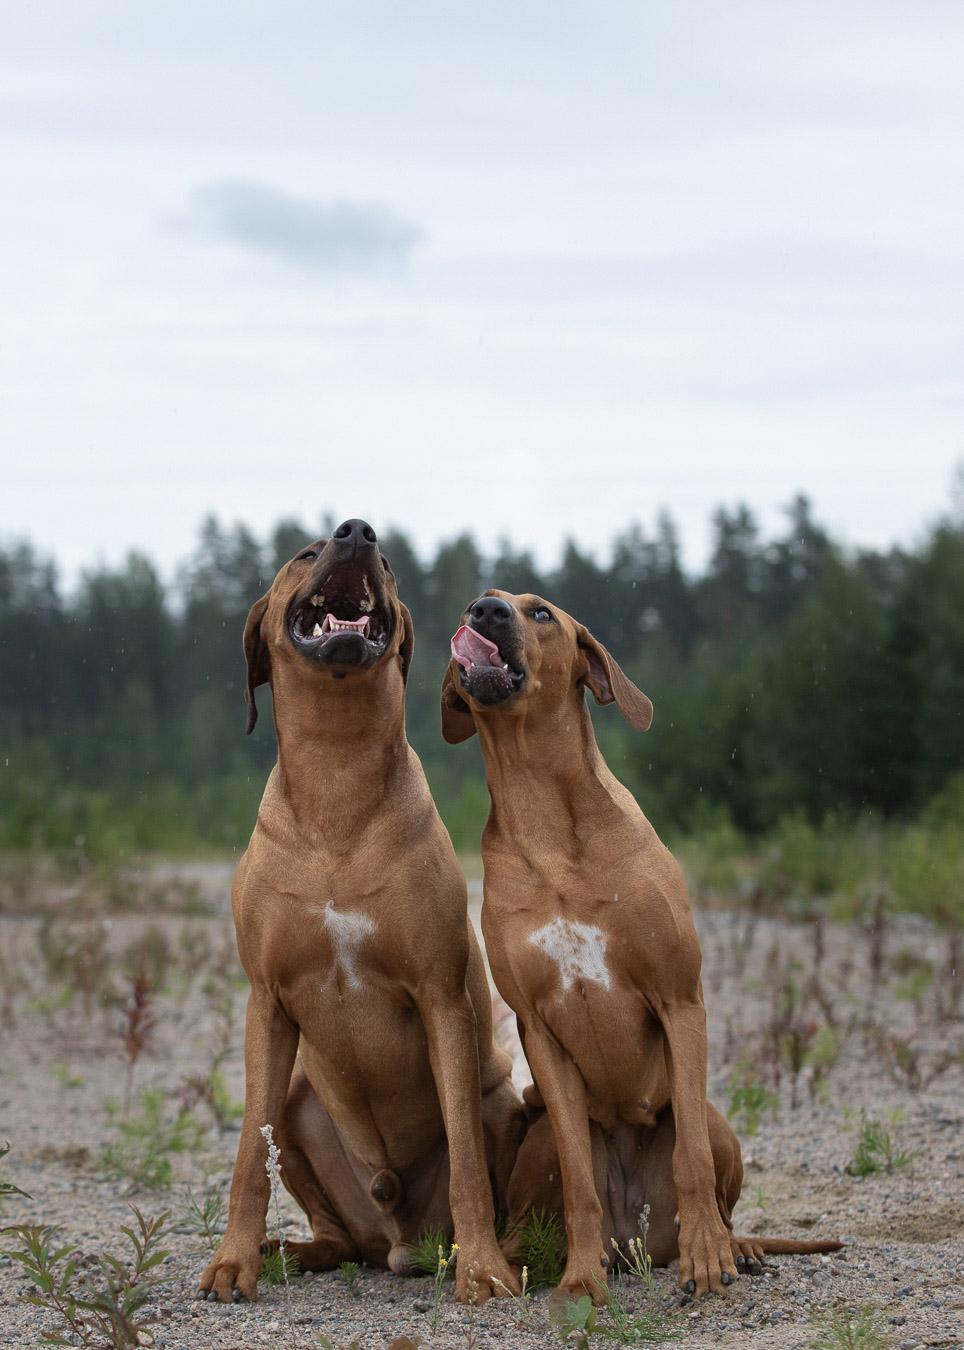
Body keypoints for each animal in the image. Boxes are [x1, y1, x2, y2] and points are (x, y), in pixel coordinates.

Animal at [199, 523, 524, 1305]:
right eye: (303, 553)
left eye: (392, 565)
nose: (357, 534)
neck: (336, 782)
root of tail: (397, 1240)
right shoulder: (267, 1001)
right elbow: (246, 1157)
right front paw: (233, 1261)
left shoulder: (440, 996)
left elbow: (466, 1157)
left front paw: (483, 1270)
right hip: (298, 1100)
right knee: (336, 1232)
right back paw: (293, 1250)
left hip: (504, 1098)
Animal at [441, 590, 841, 1301]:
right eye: (477, 605)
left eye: (540, 612)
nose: (483, 609)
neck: (548, 821)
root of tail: (634, 1242)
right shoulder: (539, 1031)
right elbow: (579, 1183)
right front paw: (578, 1281)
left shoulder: (680, 999)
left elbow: (692, 1162)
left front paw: (707, 1259)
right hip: (539, 1136)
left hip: (715, 1120)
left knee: (710, 1170)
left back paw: (735, 1245)